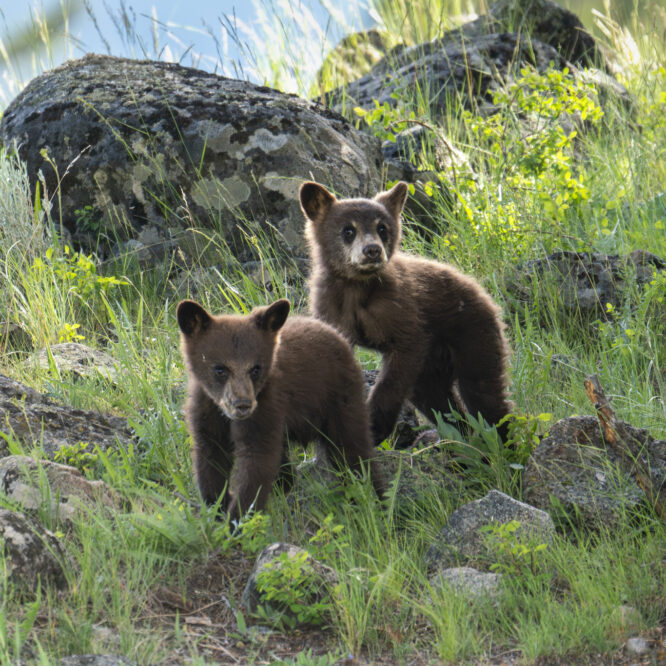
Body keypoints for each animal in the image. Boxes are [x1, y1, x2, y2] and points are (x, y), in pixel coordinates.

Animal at [177, 297, 385, 521]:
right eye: (220, 369)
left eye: (256, 368)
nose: (243, 404)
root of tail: (334, 332)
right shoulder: (206, 409)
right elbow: (210, 457)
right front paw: (216, 507)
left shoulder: (267, 405)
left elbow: (257, 462)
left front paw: (238, 520)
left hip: (339, 397)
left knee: (353, 448)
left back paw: (376, 498)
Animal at [299, 180, 513, 446]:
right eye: (348, 230)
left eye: (382, 228)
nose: (372, 250)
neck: (356, 287)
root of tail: (485, 296)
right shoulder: (330, 308)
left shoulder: (399, 307)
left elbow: (401, 359)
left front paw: (375, 424)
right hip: (432, 368)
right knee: (438, 399)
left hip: (473, 334)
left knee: (484, 393)